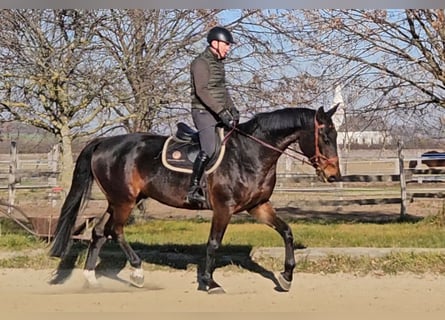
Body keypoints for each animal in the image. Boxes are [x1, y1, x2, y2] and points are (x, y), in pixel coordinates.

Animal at [49, 104, 340, 292]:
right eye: (325, 137)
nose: (334, 175)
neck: (250, 152)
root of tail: (103, 142)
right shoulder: (224, 208)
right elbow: (213, 244)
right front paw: (209, 282)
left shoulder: (258, 206)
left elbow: (287, 232)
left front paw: (287, 276)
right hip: (124, 201)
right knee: (116, 230)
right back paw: (138, 272)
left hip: (117, 200)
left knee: (99, 231)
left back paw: (91, 279)